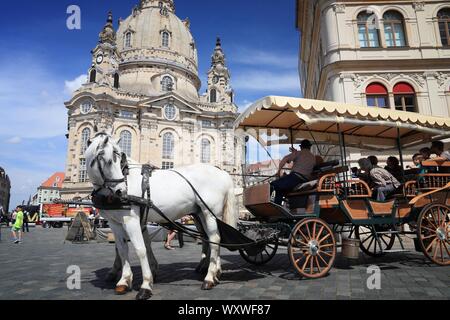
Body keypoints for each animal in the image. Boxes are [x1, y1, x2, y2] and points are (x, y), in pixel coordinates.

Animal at [85, 131, 239, 300]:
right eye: (107, 160)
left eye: (119, 159)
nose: (121, 191)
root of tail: (222, 172)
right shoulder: (115, 222)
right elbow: (122, 248)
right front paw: (124, 281)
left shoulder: (131, 220)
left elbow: (140, 249)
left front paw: (146, 285)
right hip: (201, 214)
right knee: (209, 238)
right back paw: (215, 273)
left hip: (210, 213)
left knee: (214, 239)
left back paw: (210, 278)